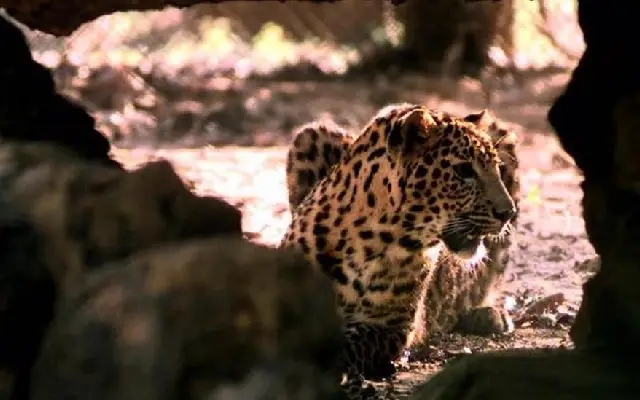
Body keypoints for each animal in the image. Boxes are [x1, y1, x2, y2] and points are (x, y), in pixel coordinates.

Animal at [279, 103, 518, 398]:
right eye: (464, 171)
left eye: (497, 168)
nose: (508, 213)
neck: (371, 239)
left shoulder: (393, 326)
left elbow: (350, 341)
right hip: (311, 134)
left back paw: (490, 316)